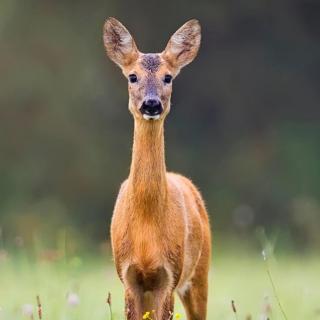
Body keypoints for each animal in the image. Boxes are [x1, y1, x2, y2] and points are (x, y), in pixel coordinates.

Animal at [104, 18, 211, 320]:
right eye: (132, 76)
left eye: (168, 77)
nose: (151, 104)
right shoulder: (128, 275)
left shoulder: (170, 274)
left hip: (199, 272)